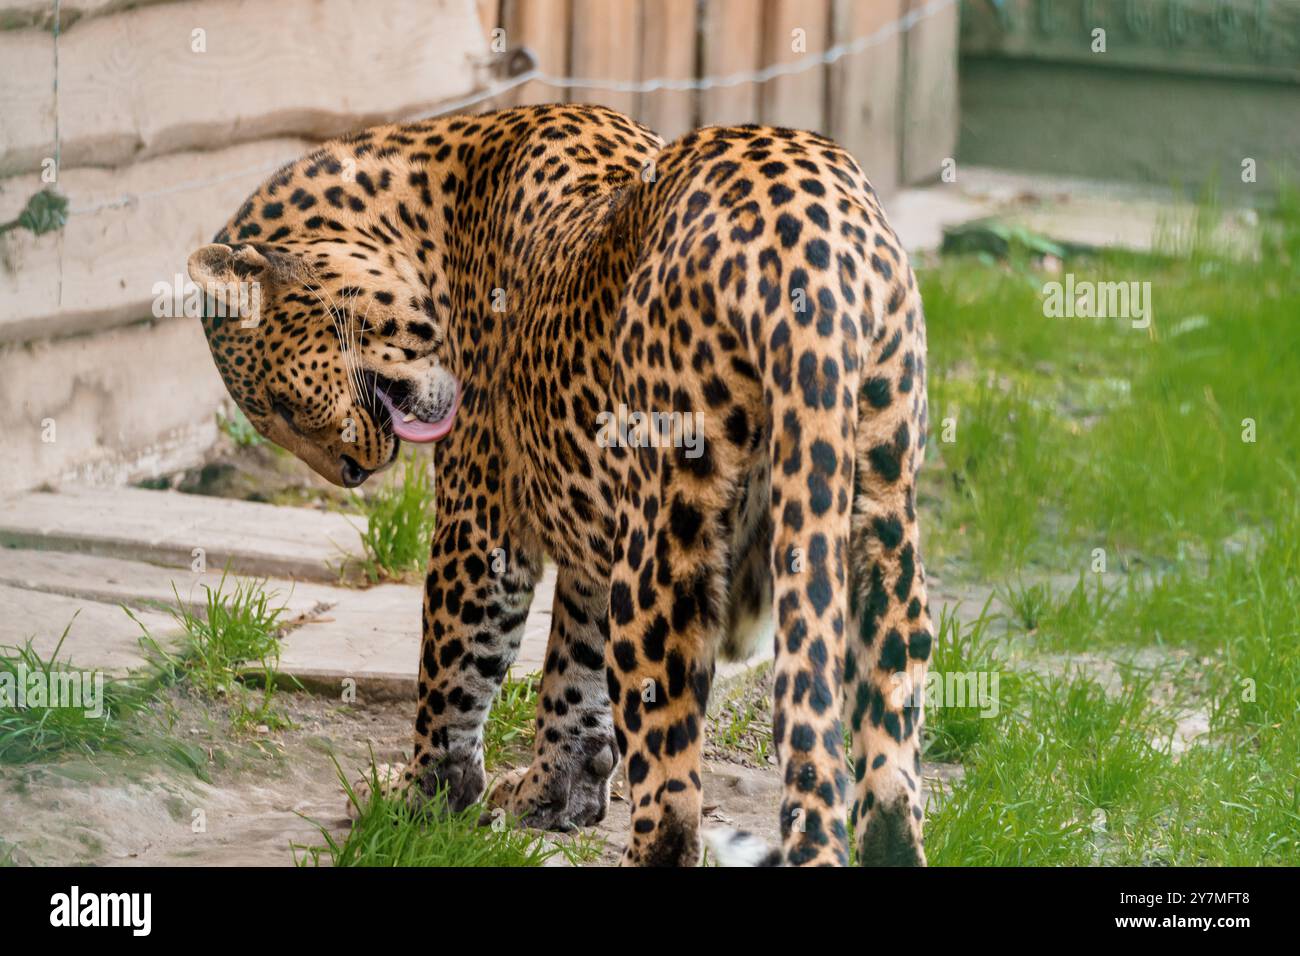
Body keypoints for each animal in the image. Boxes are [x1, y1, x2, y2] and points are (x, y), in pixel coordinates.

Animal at [185, 102, 935, 868]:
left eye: (276, 406)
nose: (351, 472)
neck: (423, 214)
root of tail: (808, 229)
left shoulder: (481, 519)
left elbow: (455, 666)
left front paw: (420, 797)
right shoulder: (590, 537)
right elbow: (574, 670)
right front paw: (552, 792)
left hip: (668, 545)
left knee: (672, 801)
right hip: (879, 515)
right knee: (888, 761)